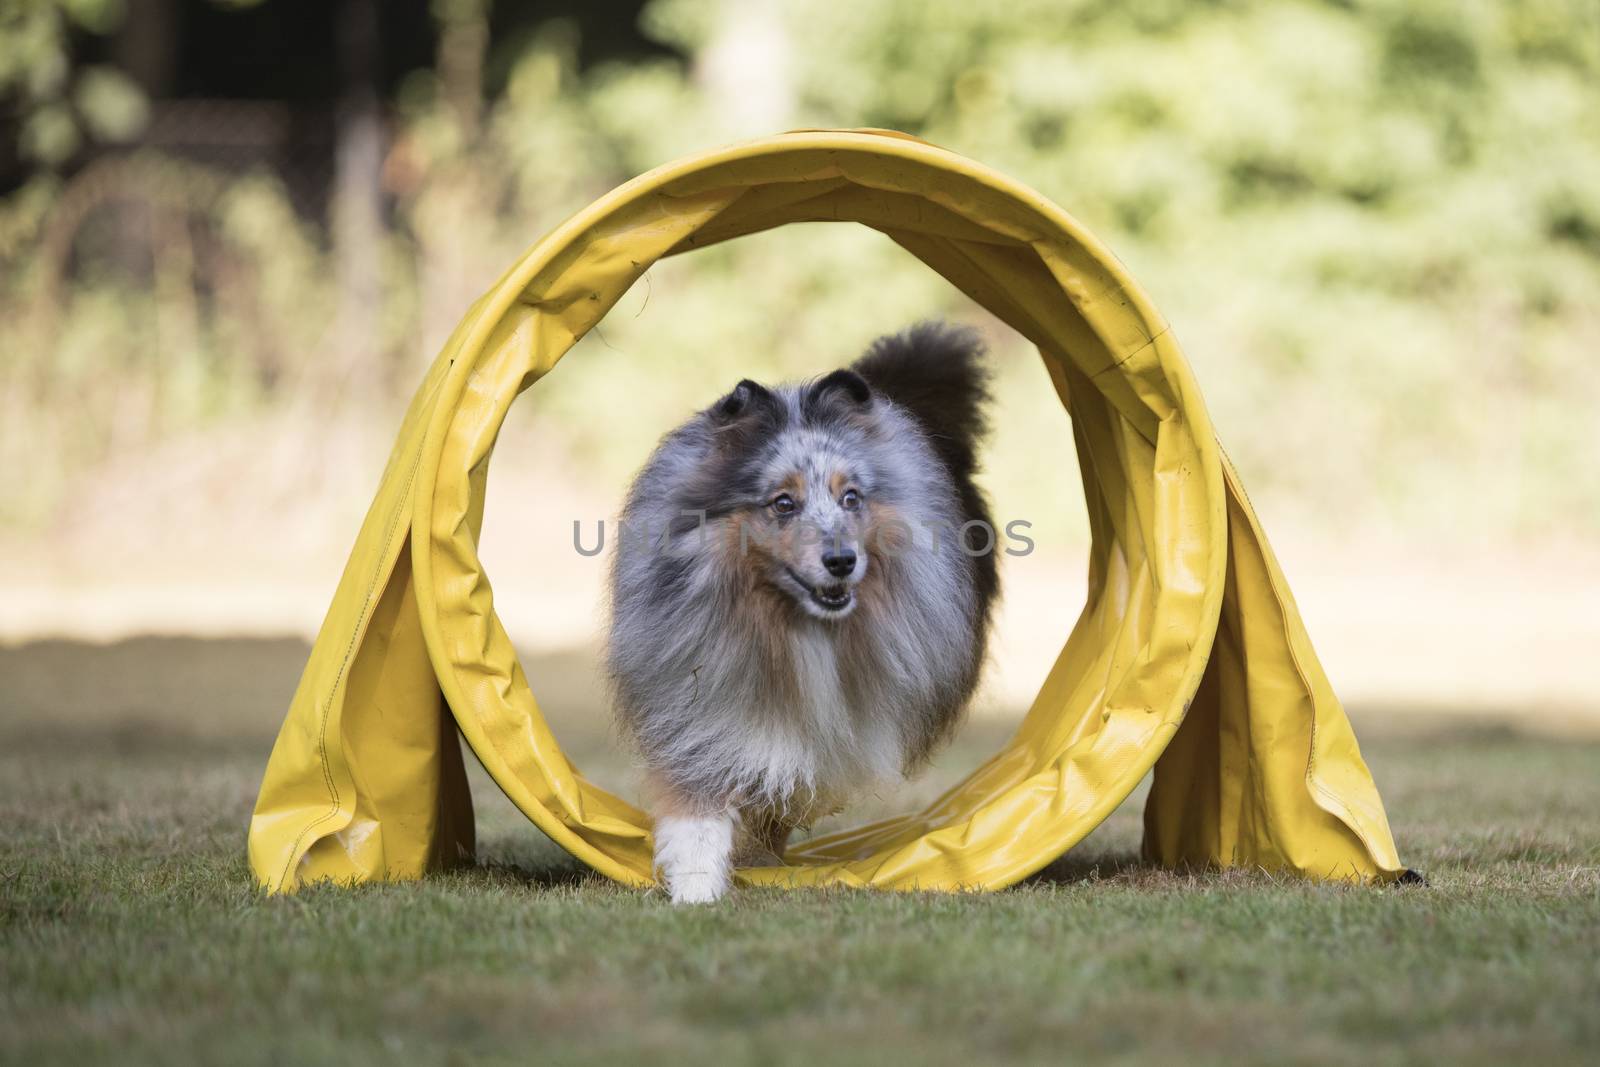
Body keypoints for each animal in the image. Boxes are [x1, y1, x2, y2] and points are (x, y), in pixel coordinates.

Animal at [601, 323, 992, 902]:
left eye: (851, 497)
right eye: (782, 503)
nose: (842, 561)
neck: (791, 626)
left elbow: (790, 778)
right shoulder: (693, 705)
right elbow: (698, 807)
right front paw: (696, 891)